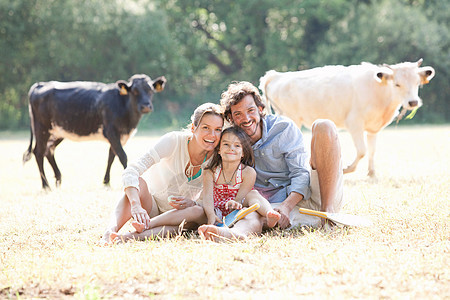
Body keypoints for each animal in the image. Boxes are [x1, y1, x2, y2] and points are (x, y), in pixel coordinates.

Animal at [23, 73, 167, 189]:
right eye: (135, 91)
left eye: (151, 90)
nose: (146, 106)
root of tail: (41, 84)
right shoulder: (111, 132)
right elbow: (122, 156)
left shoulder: (118, 136)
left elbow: (111, 157)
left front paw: (106, 182)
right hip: (42, 129)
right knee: (38, 152)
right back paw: (45, 185)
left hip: (57, 132)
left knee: (49, 150)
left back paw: (58, 179)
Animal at [260, 59, 436, 176]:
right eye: (397, 84)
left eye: (417, 83)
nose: (413, 102)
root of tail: (276, 76)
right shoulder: (355, 123)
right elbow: (362, 150)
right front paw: (347, 169)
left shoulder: (373, 129)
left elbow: (372, 150)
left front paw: (372, 173)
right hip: (292, 117)